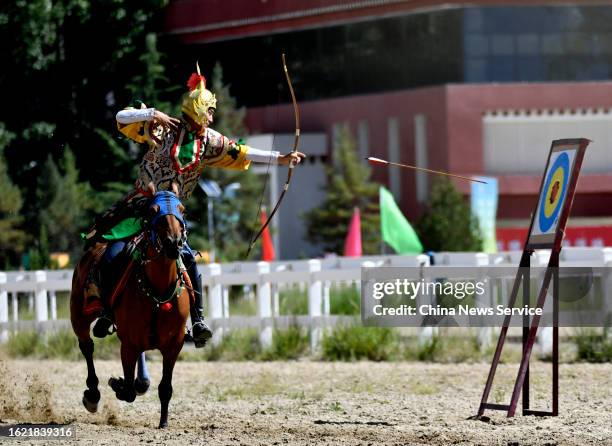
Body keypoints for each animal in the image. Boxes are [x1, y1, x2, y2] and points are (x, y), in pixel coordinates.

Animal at [69, 189, 190, 428]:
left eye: (182, 209)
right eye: (153, 211)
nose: (174, 242)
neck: (158, 290)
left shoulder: (174, 345)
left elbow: (165, 387)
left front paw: (163, 422)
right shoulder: (128, 344)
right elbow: (129, 389)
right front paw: (117, 384)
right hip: (78, 314)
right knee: (87, 347)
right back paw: (93, 394)